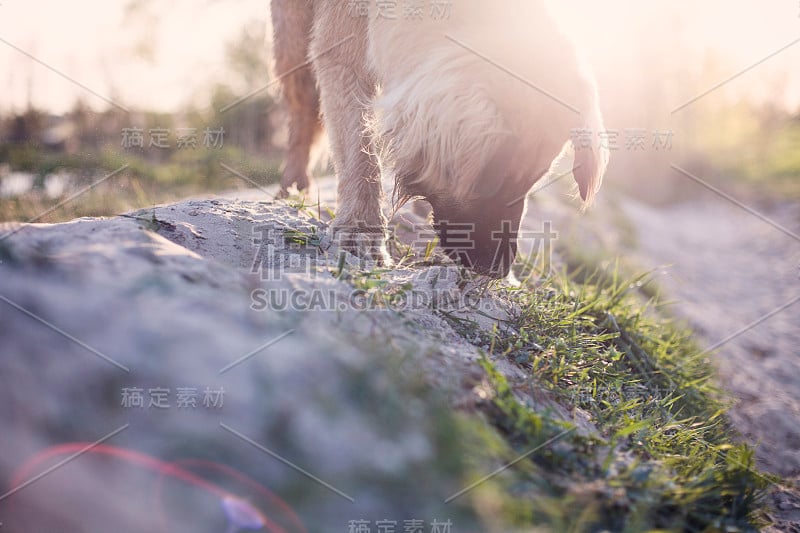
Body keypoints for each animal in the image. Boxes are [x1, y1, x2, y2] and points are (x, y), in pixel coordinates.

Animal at [268, 1, 608, 278]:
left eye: (531, 181)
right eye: (489, 181)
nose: (499, 269)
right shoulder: (340, 46)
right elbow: (358, 148)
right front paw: (361, 230)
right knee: (302, 105)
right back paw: (294, 182)